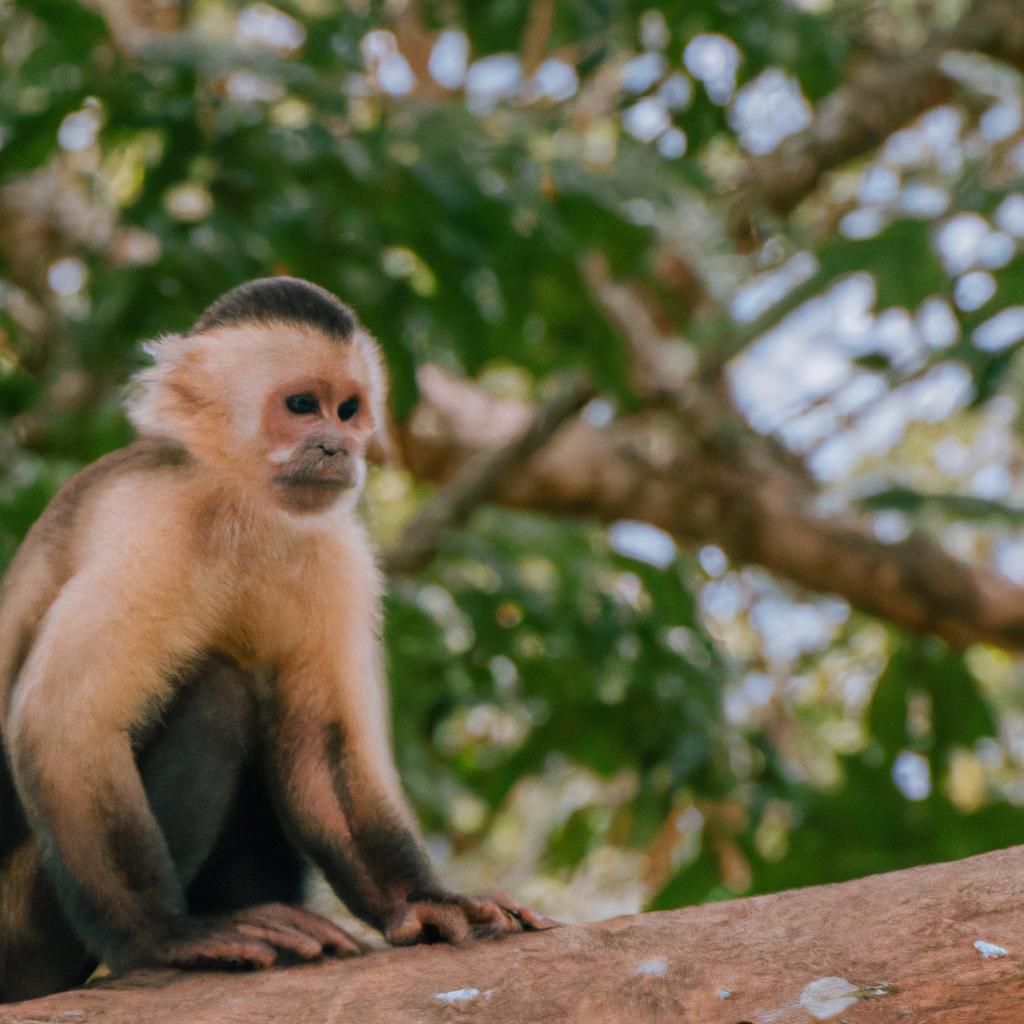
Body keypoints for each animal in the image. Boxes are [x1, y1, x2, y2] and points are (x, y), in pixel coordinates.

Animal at [0, 276, 552, 995]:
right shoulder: (157, 522)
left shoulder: (331, 553)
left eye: (347, 410)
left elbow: (322, 745)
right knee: (217, 694)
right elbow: (64, 720)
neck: (239, 502)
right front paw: (164, 935)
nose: (337, 446)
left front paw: (419, 901)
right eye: (301, 406)